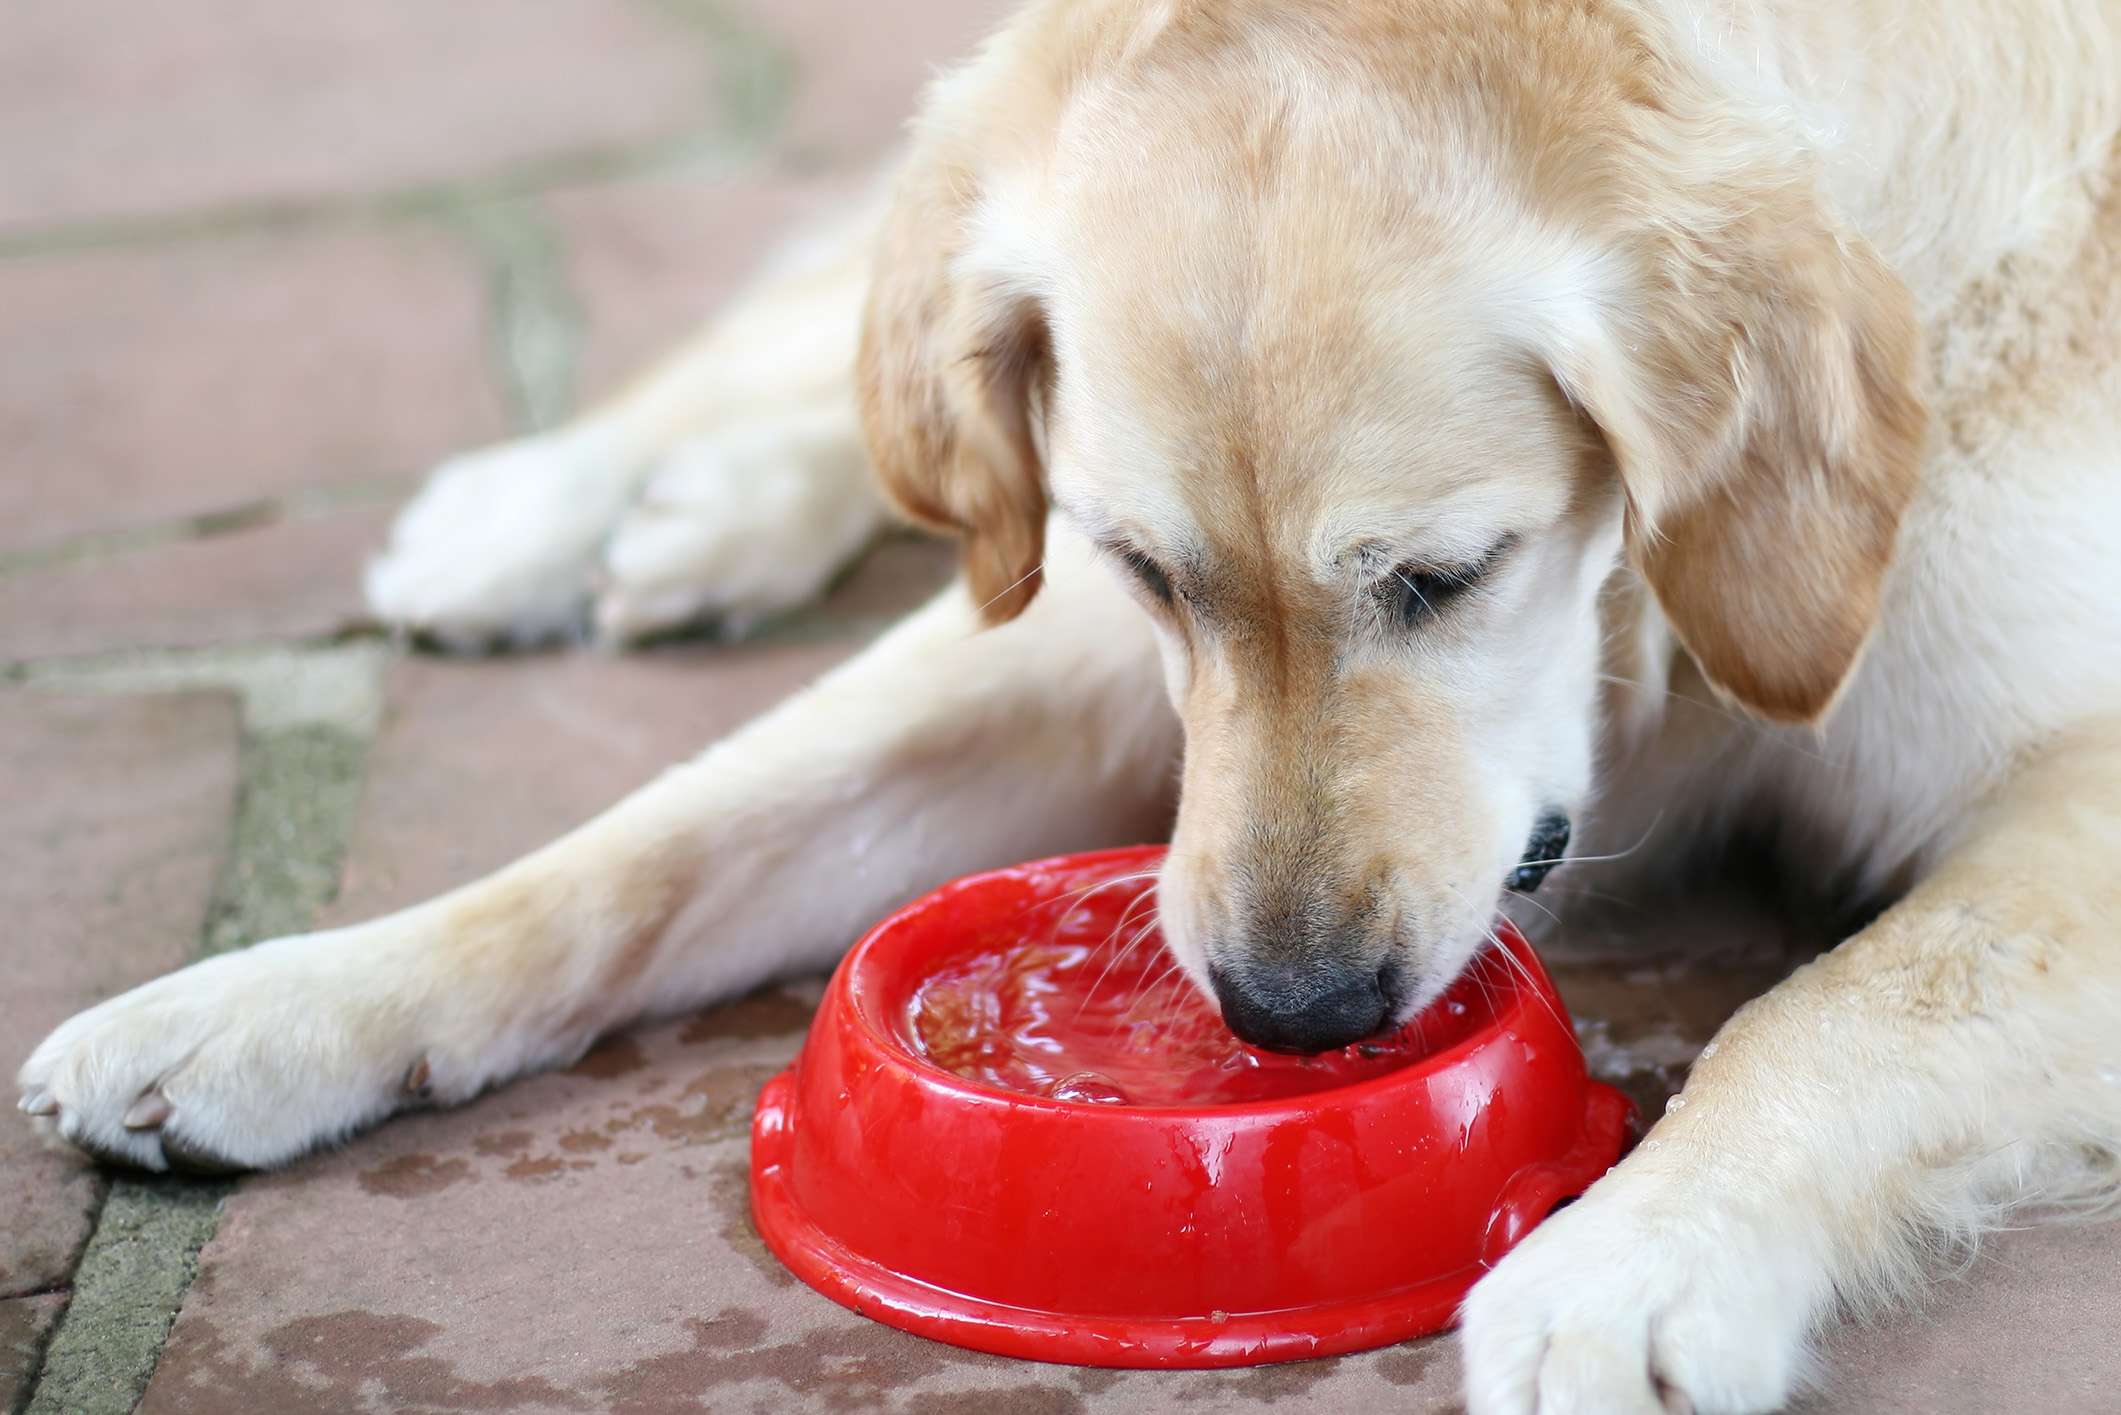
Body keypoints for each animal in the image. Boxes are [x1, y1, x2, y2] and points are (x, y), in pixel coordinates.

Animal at [20, 0, 2121, 1408]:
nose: (1291, 1014)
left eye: (1447, 577)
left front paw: (1639, 1266)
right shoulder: (1072, 642)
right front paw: (277, 1002)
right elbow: (644, 845)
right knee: (866, 339)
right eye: (1146, 568)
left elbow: (1833, 1014)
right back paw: (567, 504)